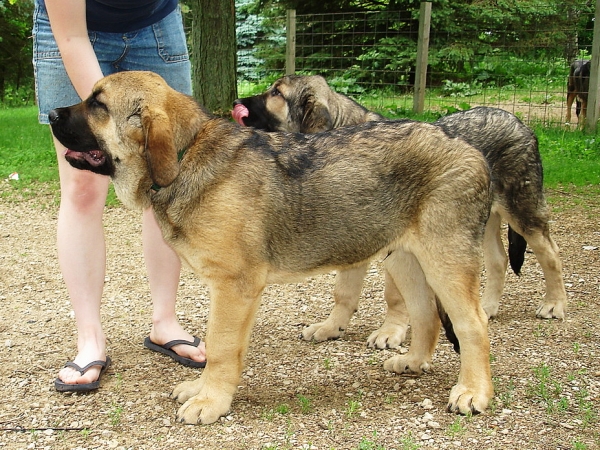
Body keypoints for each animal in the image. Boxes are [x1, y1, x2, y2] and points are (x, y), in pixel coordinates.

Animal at [50, 71, 492, 426]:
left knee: (472, 325)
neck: (186, 153)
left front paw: (210, 401)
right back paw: (414, 362)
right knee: (425, 314)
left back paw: (474, 391)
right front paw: (202, 389)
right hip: (405, 259)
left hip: (446, 263)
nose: (51, 115)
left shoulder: (234, 288)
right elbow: (222, 349)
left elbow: (221, 348)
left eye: (99, 104)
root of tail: (470, 147)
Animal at [234, 74, 568, 348]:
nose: (237, 103)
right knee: (498, 259)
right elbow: (344, 292)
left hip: (520, 209)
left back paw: (555, 304)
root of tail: (516, 119)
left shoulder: (392, 245)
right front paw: (332, 327)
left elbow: (394, 296)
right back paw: (489, 306)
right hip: (476, 223)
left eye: (276, 93)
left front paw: (390, 332)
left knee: (550, 254)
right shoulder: (353, 241)